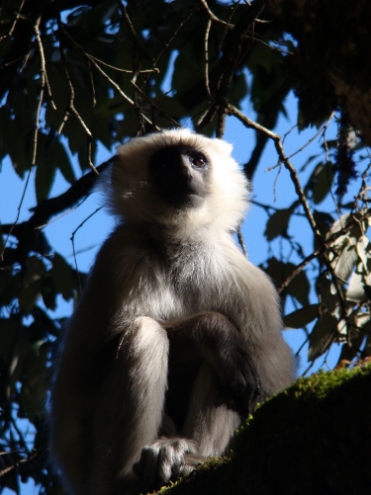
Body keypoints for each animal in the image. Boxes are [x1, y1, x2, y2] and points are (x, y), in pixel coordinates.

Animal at [49, 129, 294, 495]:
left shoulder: (245, 282)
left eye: (197, 160)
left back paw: (187, 458)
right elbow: (93, 363)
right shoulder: (122, 254)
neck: (179, 244)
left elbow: (267, 388)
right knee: (147, 335)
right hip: (95, 469)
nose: (183, 171)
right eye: (164, 163)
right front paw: (214, 330)